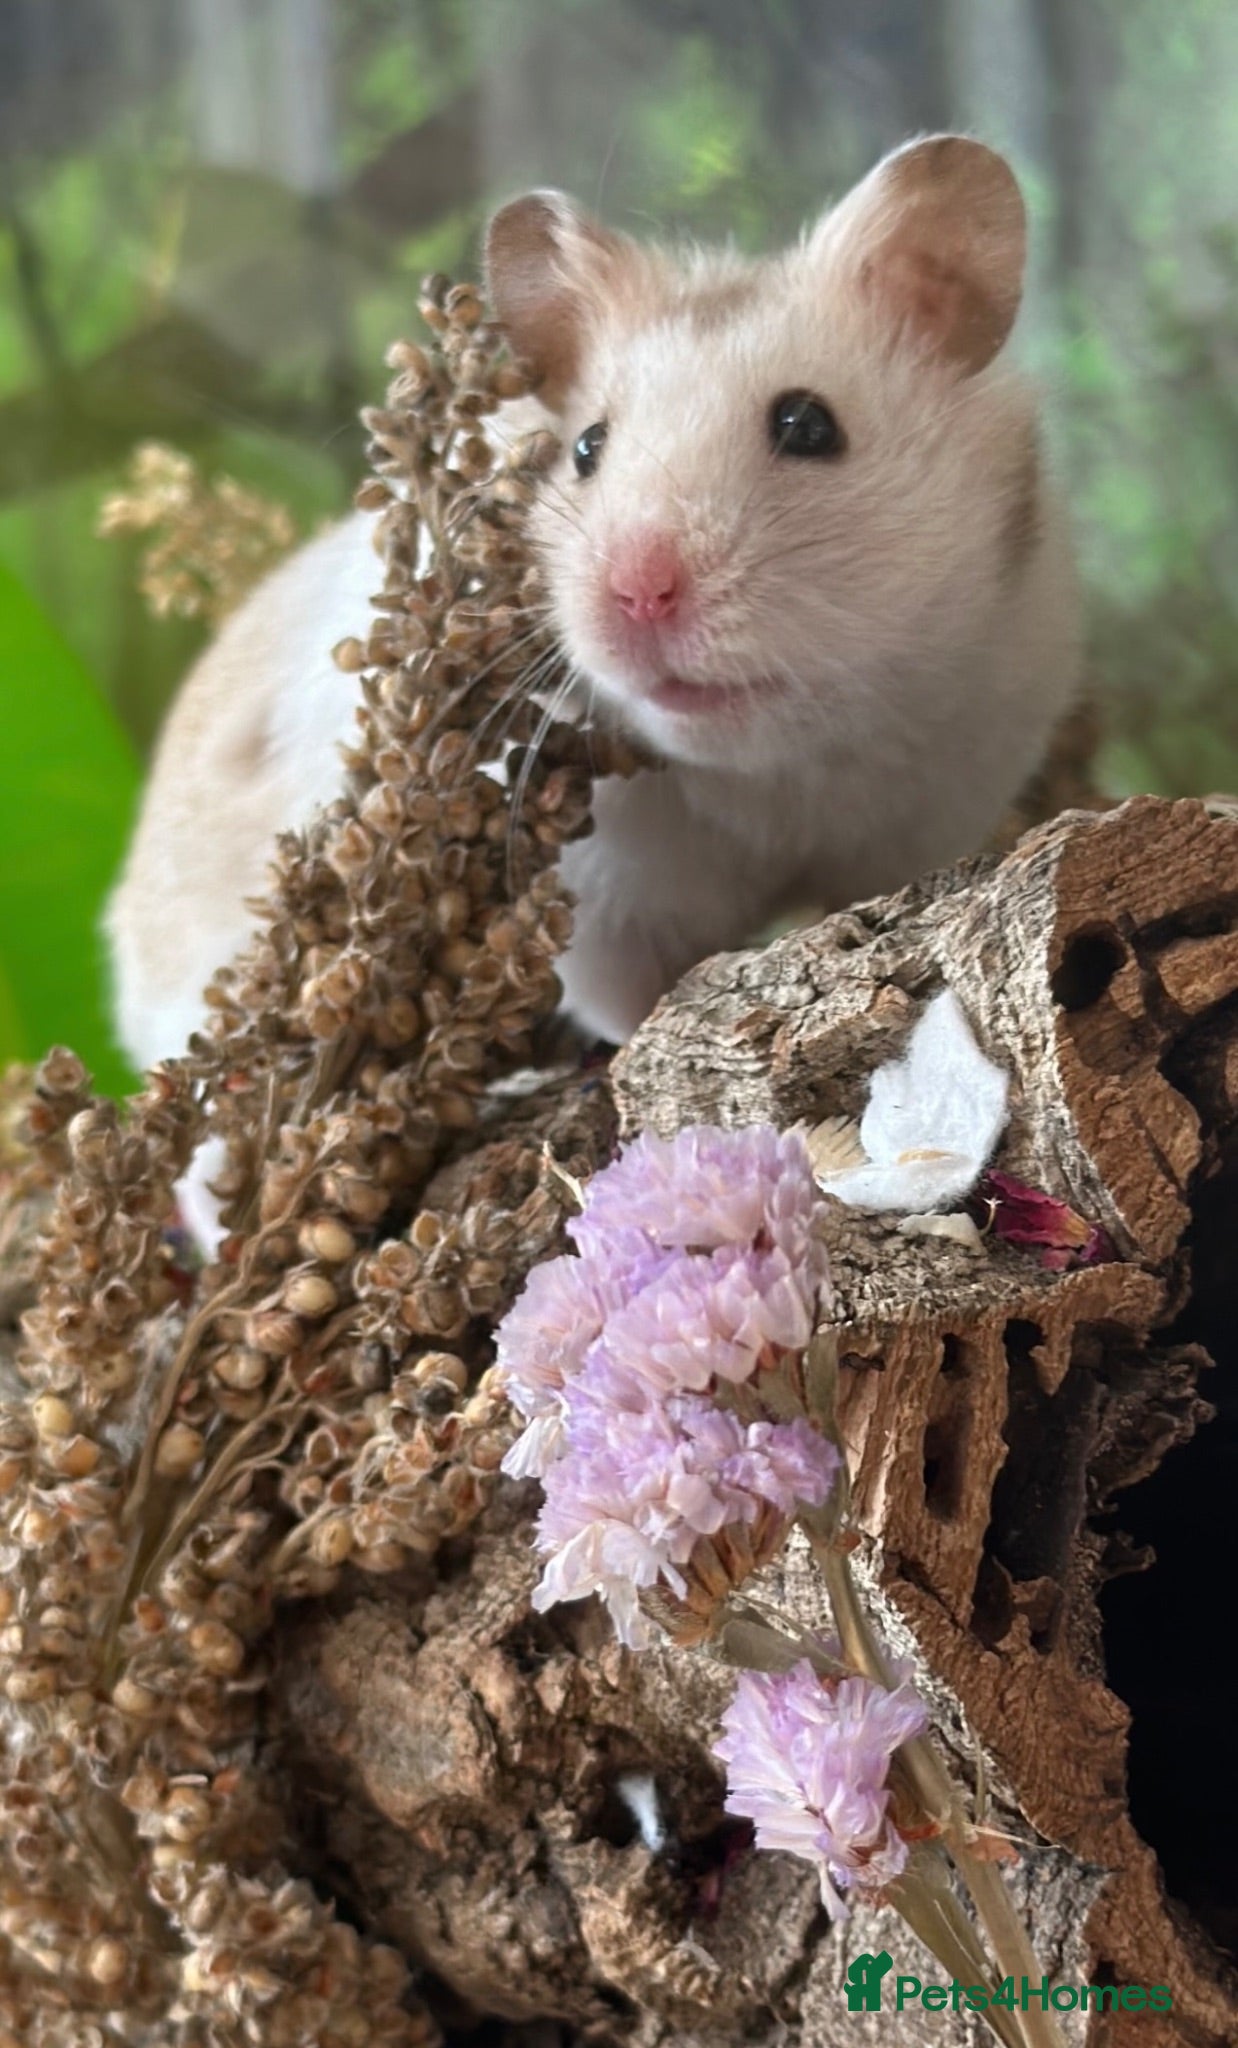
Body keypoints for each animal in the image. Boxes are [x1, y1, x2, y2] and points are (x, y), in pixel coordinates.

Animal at [107, 134, 1079, 1227]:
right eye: (585, 449)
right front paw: (620, 1058)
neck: (775, 767)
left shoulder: (924, 807)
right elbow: (627, 994)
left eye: (807, 424)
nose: (636, 593)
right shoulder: (596, 899)